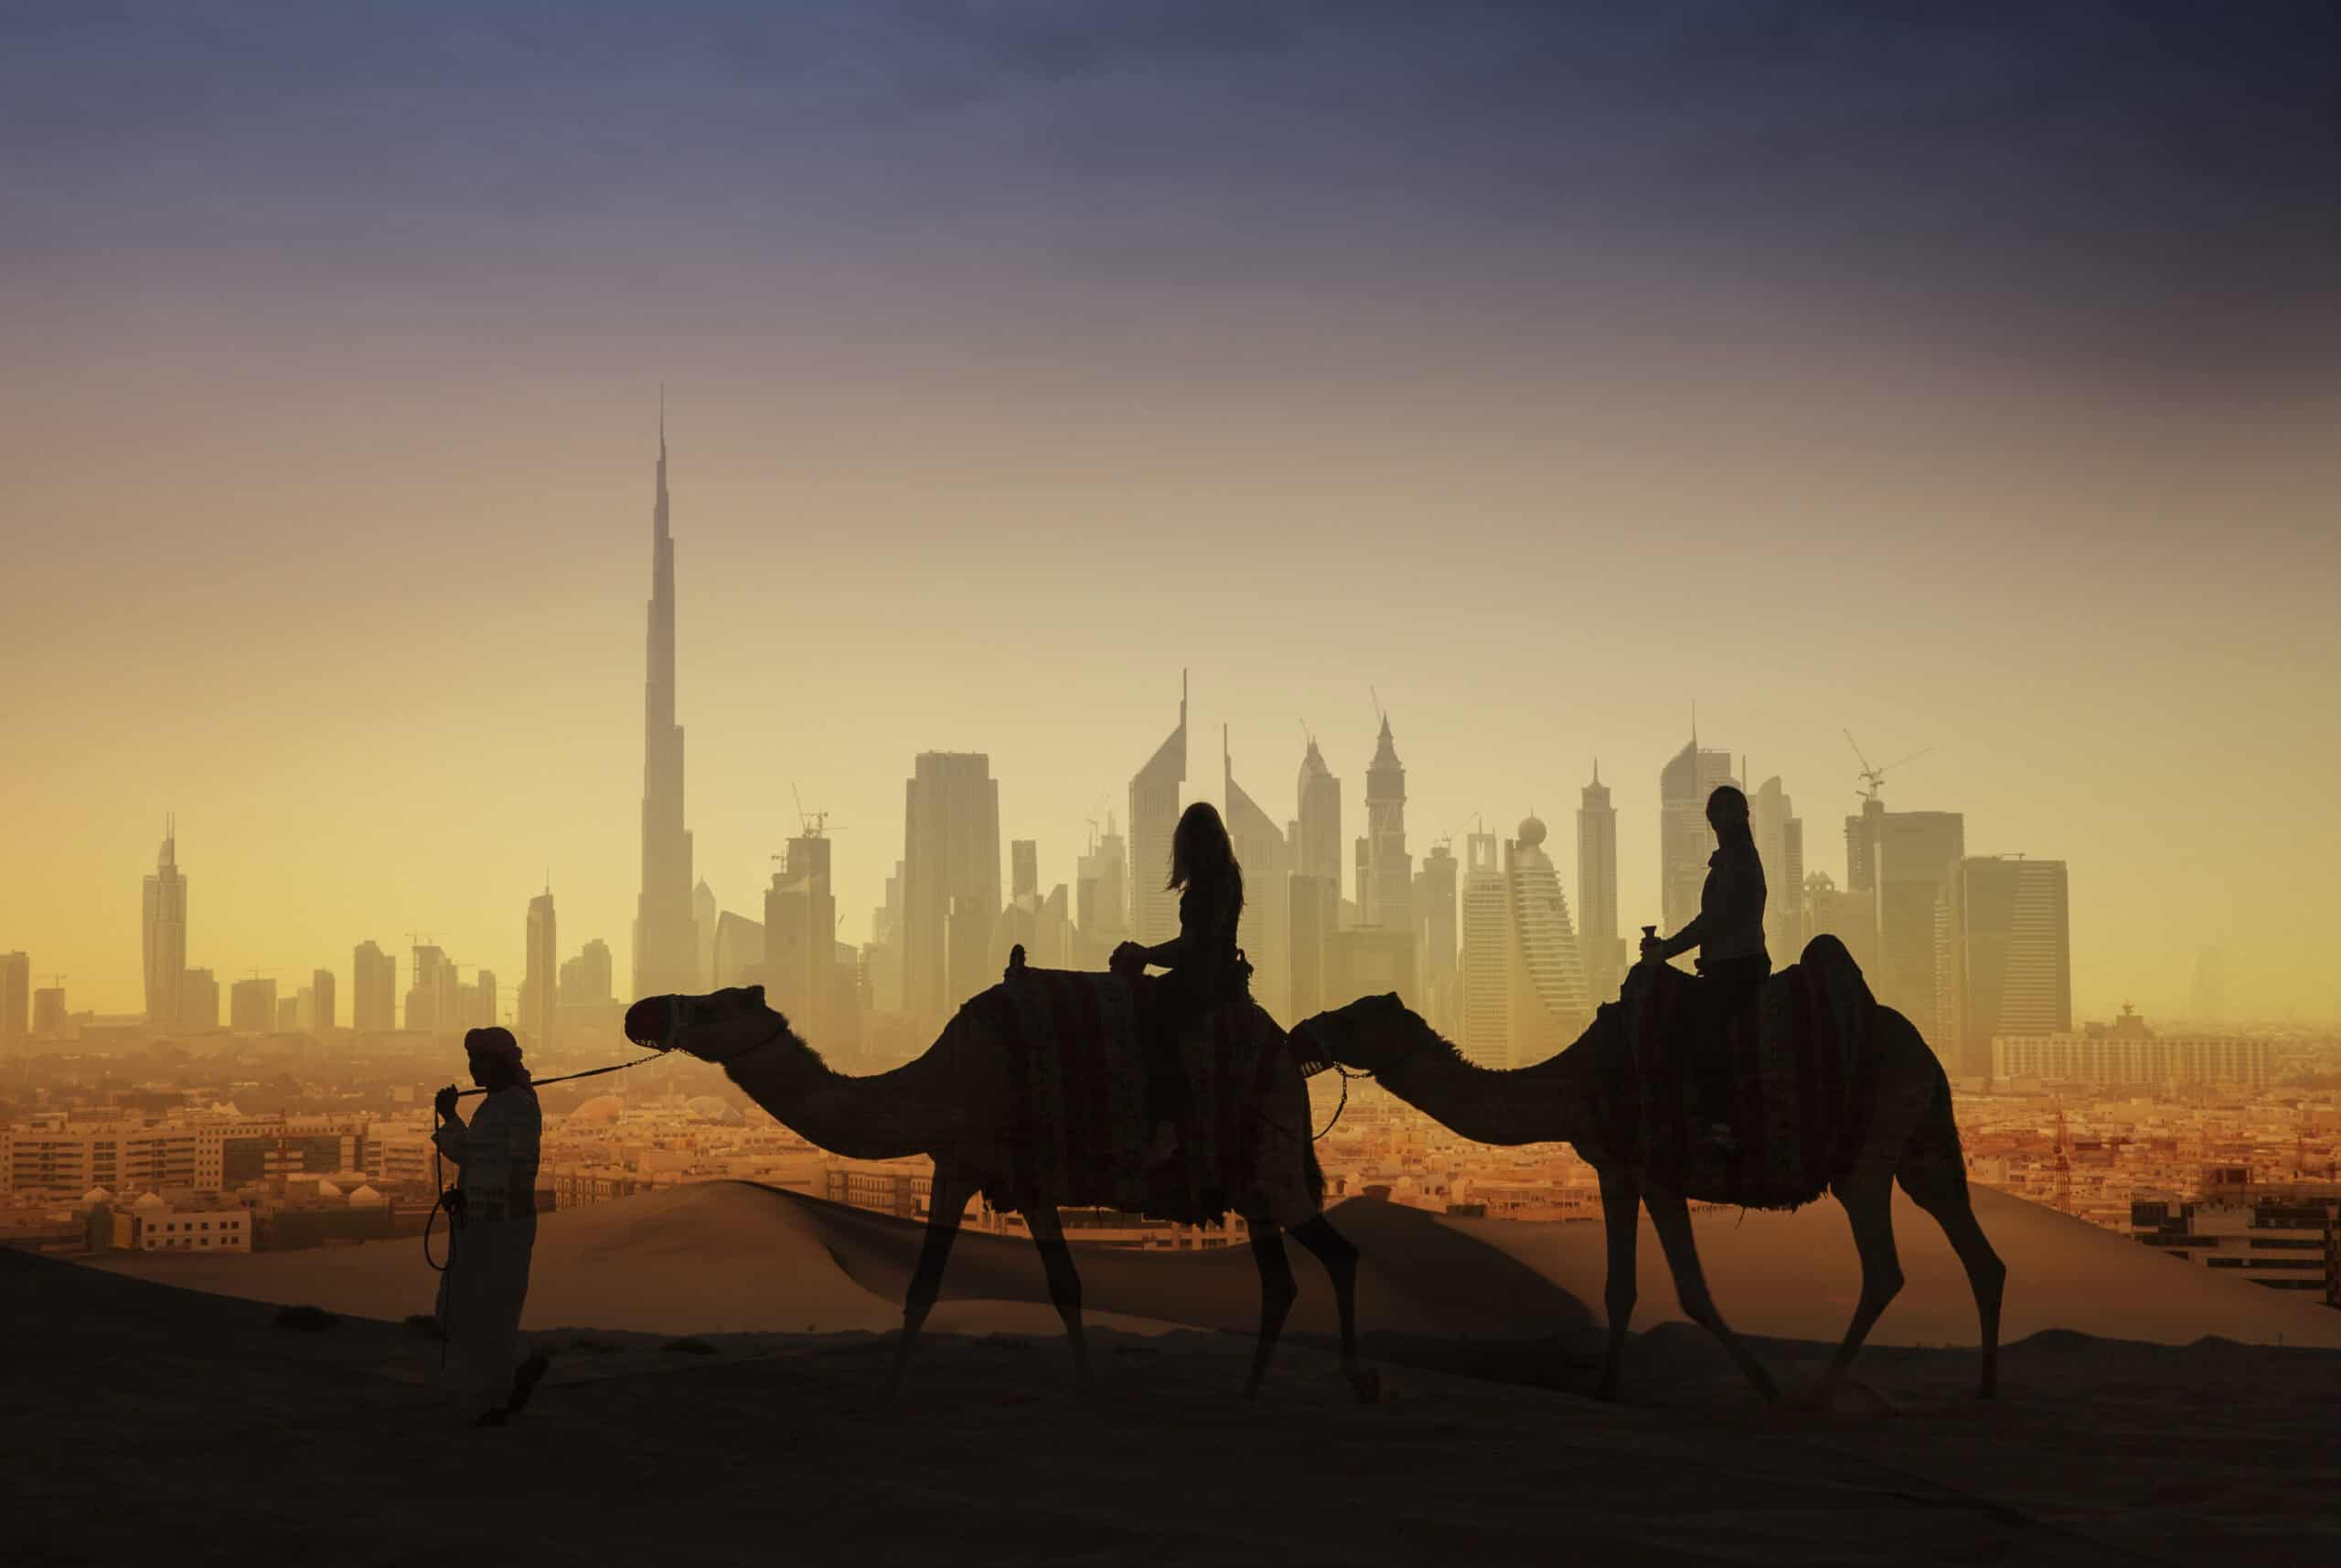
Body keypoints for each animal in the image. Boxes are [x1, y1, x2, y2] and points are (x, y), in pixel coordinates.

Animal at [632, 977, 1376, 1403]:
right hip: (1254, 1183)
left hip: (1272, 1167)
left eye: (711, 1005)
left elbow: (949, 1284)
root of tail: (1289, 1061)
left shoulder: (982, 1165)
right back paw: (1250, 1391)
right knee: (1281, 1279)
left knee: (1336, 1256)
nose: (640, 1011)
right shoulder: (981, 1171)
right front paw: (1085, 1389)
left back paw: (1351, 1383)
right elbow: (1037, 1285)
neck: (941, 1081)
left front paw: (886, 1392)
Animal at [1292, 945, 2004, 1413]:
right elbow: (1679, 1290)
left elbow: (1634, 1288)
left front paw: (1619, 1388)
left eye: (1352, 1018)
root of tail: (1923, 1049)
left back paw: (1821, 1393)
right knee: (1978, 1253)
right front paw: (1746, 1382)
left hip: (1867, 1154)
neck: (1573, 1079)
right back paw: (1986, 1389)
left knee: (1884, 1269)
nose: (1301, 1030)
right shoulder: (1650, 1177)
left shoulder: (1623, 1164)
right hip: (1922, 1143)